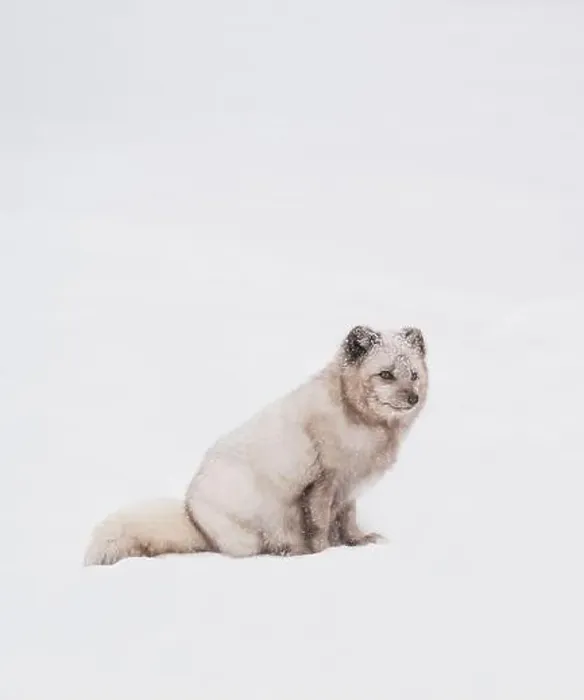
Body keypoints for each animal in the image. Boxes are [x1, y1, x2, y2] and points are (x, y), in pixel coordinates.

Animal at [84, 325, 428, 565]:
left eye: (413, 375)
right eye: (385, 374)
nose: (413, 398)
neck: (359, 419)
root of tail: (193, 516)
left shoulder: (348, 490)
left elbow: (348, 522)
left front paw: (358, 541)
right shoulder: (322, 483)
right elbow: (319, 526)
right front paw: (323, 554)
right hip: (258, 524)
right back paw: (290, 552)